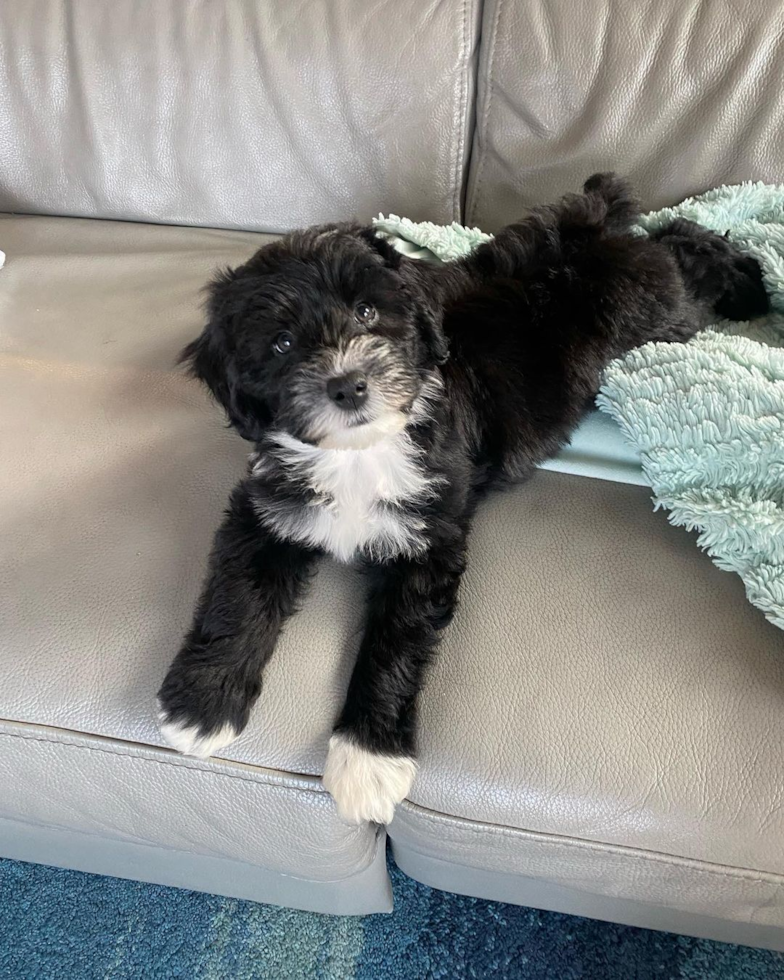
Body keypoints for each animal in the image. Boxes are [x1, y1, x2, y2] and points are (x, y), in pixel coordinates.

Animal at [156, 174, 768, 820]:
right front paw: (199, 708)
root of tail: (589, 231)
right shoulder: (267, 509)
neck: (362, 452)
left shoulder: (429, 539)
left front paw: (368, 758)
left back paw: (747, 278)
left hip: (661, 313)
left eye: (367, 311)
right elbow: (237, 598)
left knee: (683, 246)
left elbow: (396, 643)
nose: (348, 385)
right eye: (281, 343)